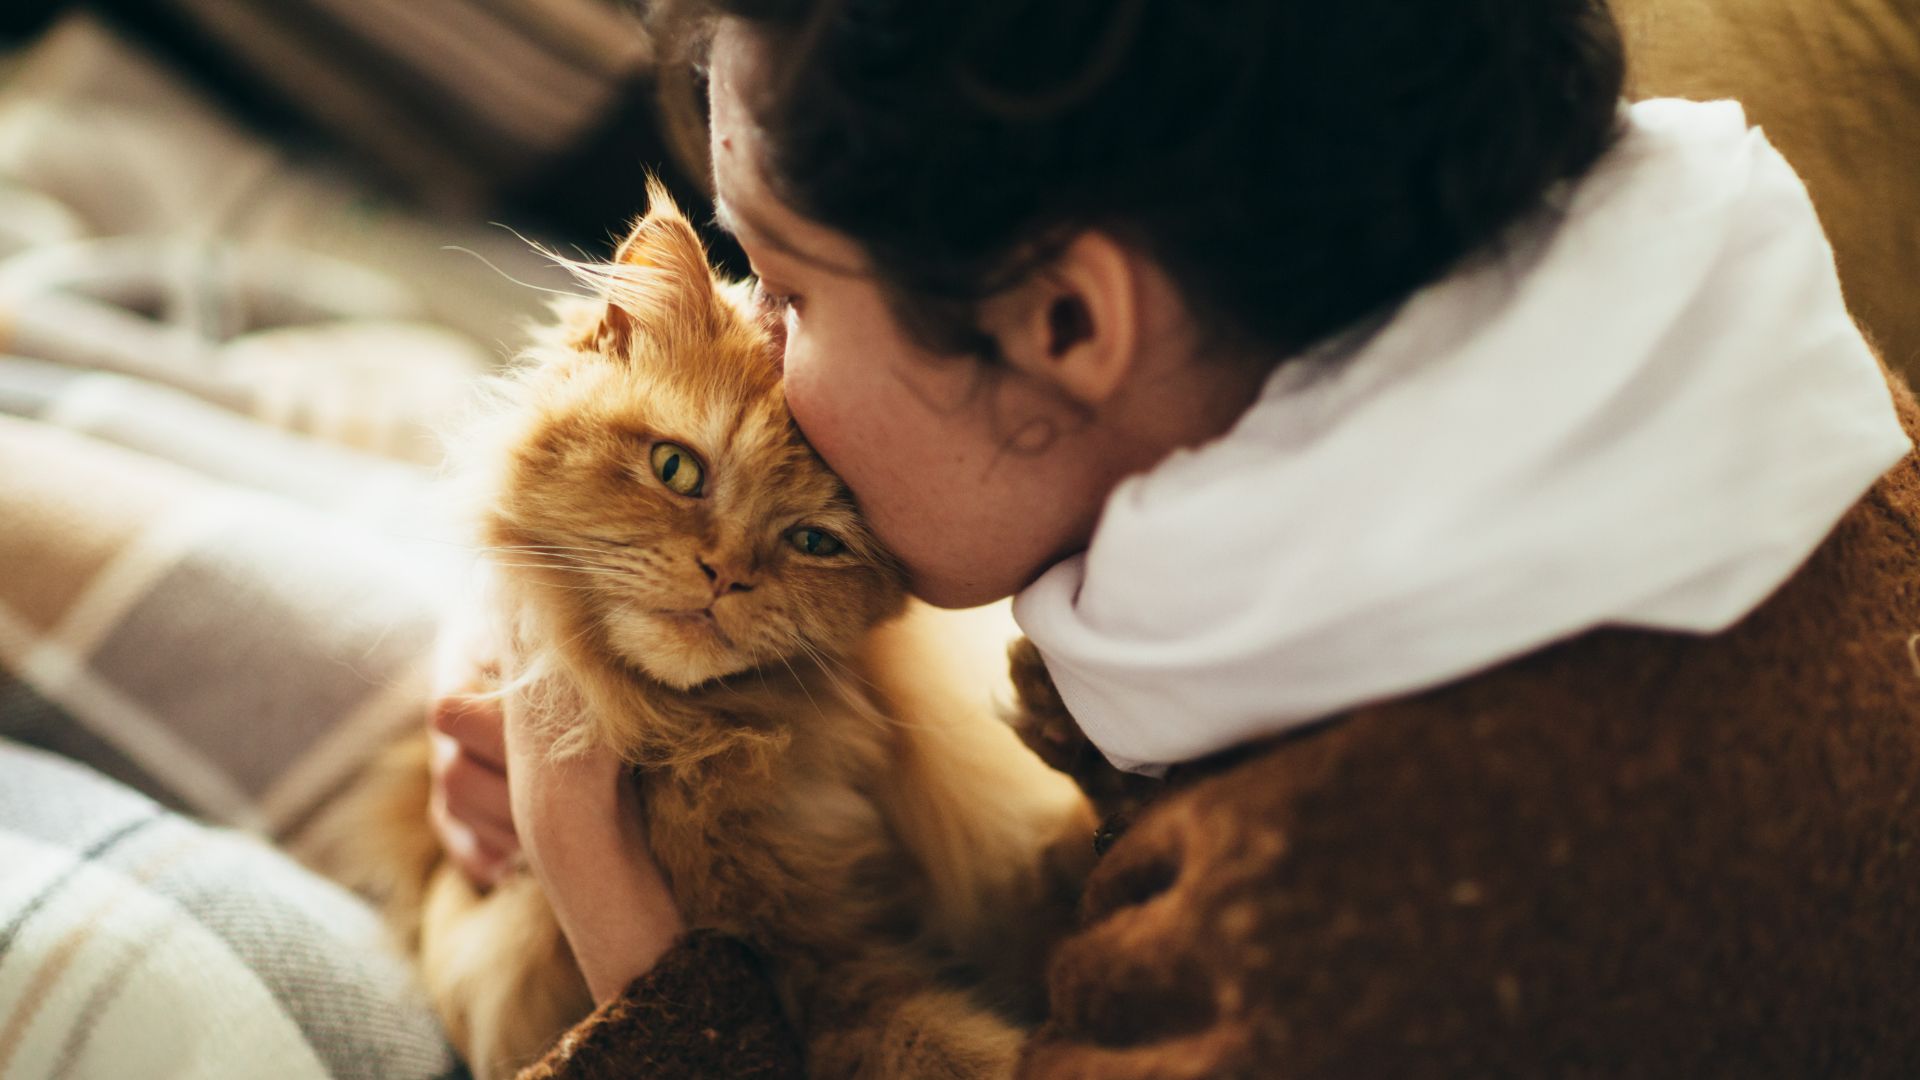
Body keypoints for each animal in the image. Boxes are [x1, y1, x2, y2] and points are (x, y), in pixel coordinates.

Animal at [322, 184, 1090, 1076]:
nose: (726, 574)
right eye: (676, 468)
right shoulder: (820, 980)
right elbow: (960, 1047)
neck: (711, 750)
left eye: (814, 542)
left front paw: (1065, 703)